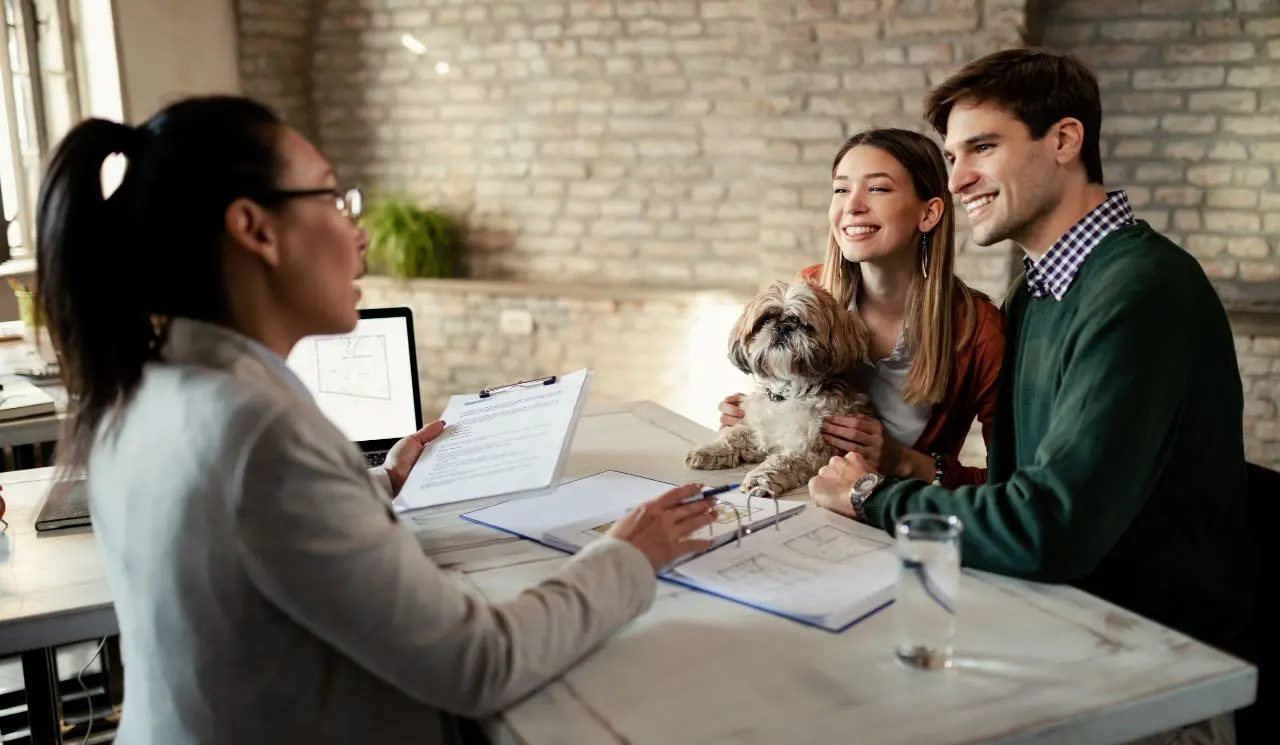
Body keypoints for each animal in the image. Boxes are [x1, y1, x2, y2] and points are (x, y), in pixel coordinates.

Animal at [686, 280, 875, 501]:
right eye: (767, 319)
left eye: (806, 325)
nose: (783, 327)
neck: (787, 392)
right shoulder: (759, 428)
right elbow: (736, 434)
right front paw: (711, 450)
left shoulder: (811, 449)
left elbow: (783, 461)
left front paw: (758, 480)